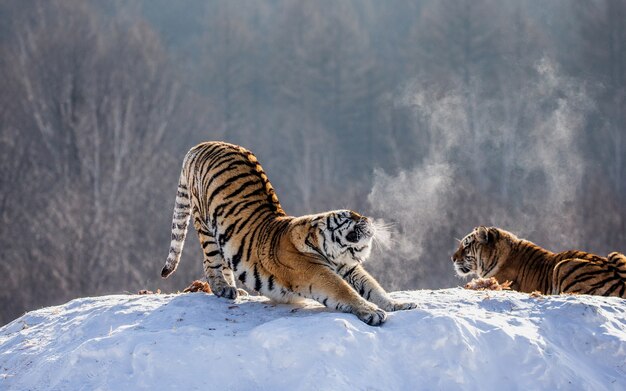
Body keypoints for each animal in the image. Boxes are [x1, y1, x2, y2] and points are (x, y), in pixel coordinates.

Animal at [161, 142, 414, 326]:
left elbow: (373, 288)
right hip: (205, 224)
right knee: (210, 262)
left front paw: (399, 305)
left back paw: (236, 289)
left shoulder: (350, 269)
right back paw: (223, 288)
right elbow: (345, 292)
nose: (366, 219)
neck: (336, 253)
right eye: (348, 217)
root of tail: (203, 144)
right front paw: (372, 312)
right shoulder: (317, 273)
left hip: (224, 237)